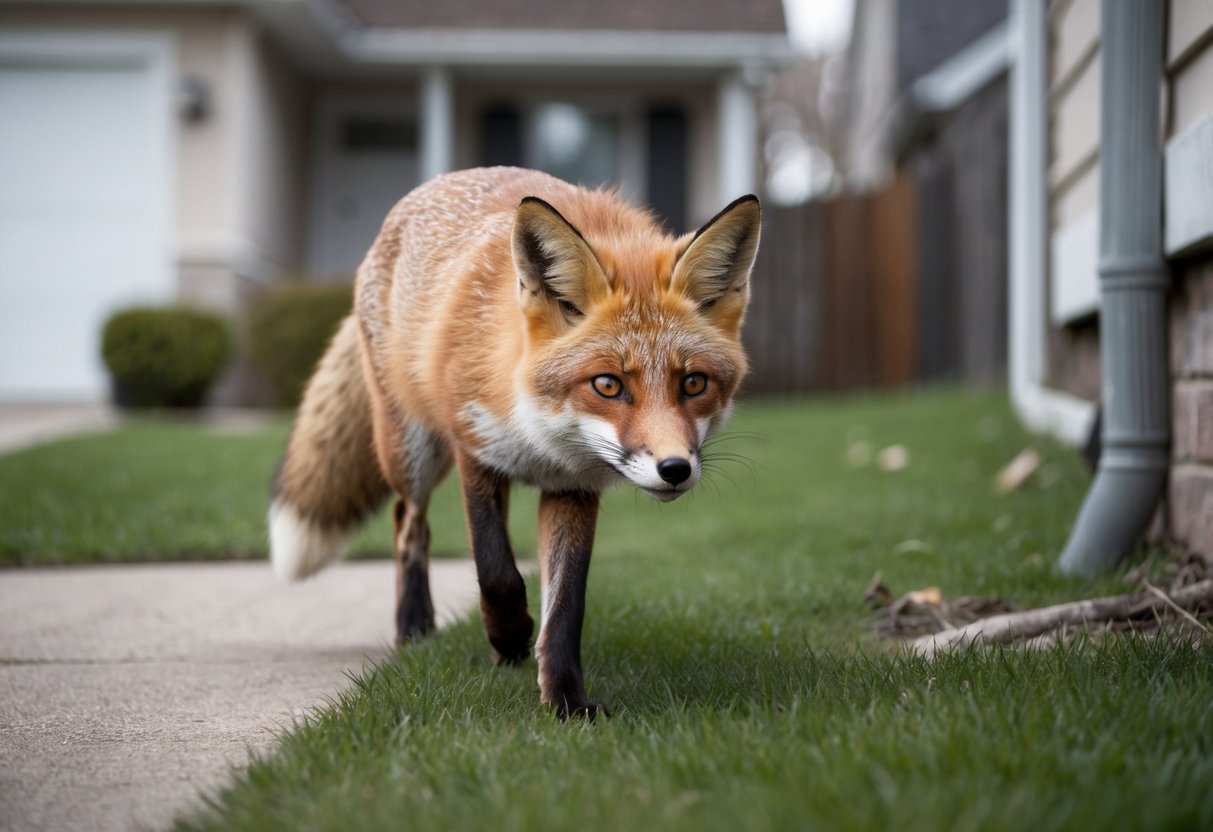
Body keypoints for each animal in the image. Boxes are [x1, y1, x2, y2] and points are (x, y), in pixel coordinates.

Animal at [270, 166, 760, 718]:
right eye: (607, 385)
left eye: (693, 383)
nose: (675, 469)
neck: (540, 433)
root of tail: (432, 186)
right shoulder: (474, 450)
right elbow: (496, 571)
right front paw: (509, 636)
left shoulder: (573, 487)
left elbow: (566, 607)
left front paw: (566, 701)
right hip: (411, 449)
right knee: (408, 523)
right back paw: (416, 627)